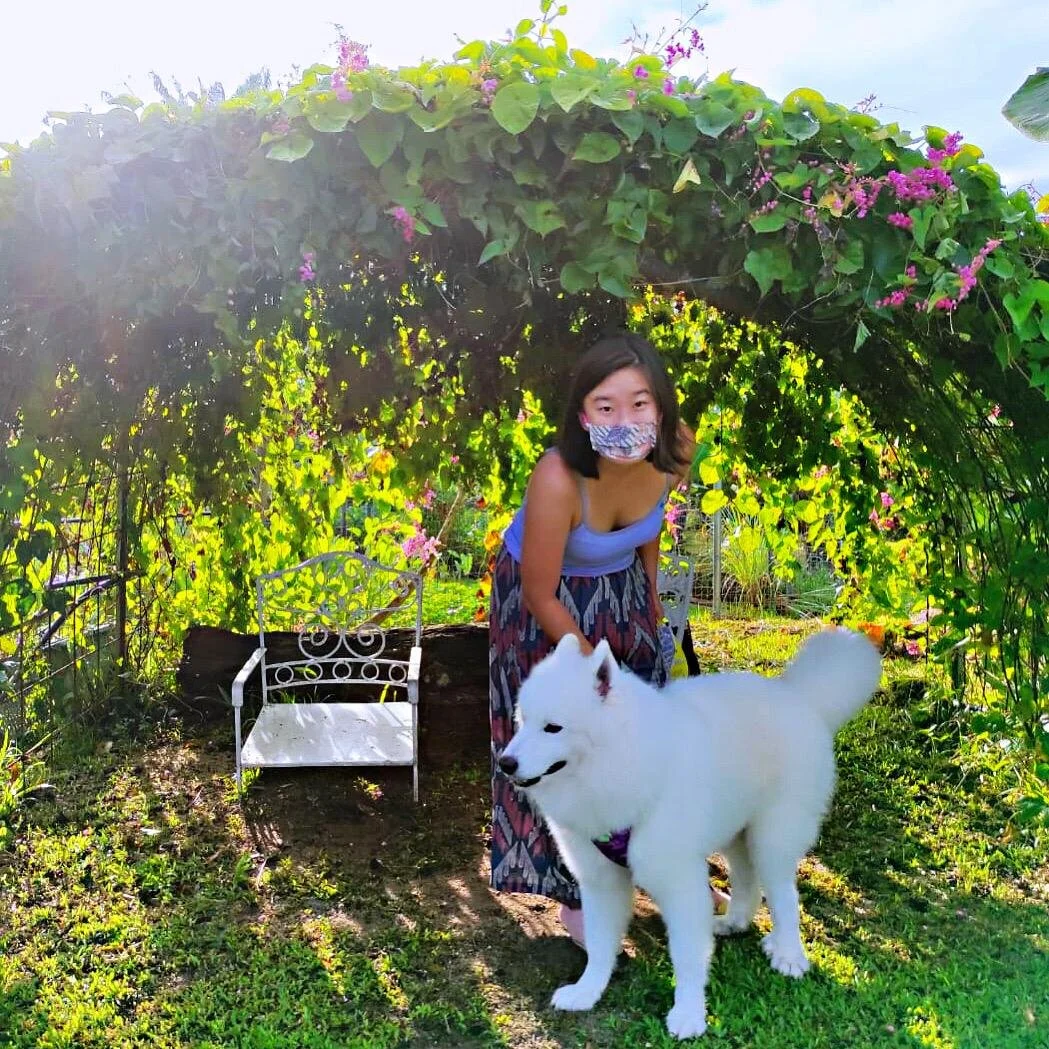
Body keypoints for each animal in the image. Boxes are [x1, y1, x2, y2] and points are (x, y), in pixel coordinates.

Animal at [497, 628, 881, 1039]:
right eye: (523, 720)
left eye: (553, 727)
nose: (505, 763)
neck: (622, 762)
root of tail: (799, 697)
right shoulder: (602, 881)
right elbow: (600, 945)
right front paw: (588, 991)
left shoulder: (679, 884)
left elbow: (686, 957)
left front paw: (688, 1014)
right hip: (736, 832)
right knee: (747, 882)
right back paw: (733, 922)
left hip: (771, 839)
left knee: (784, 898)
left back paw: (790, 955)